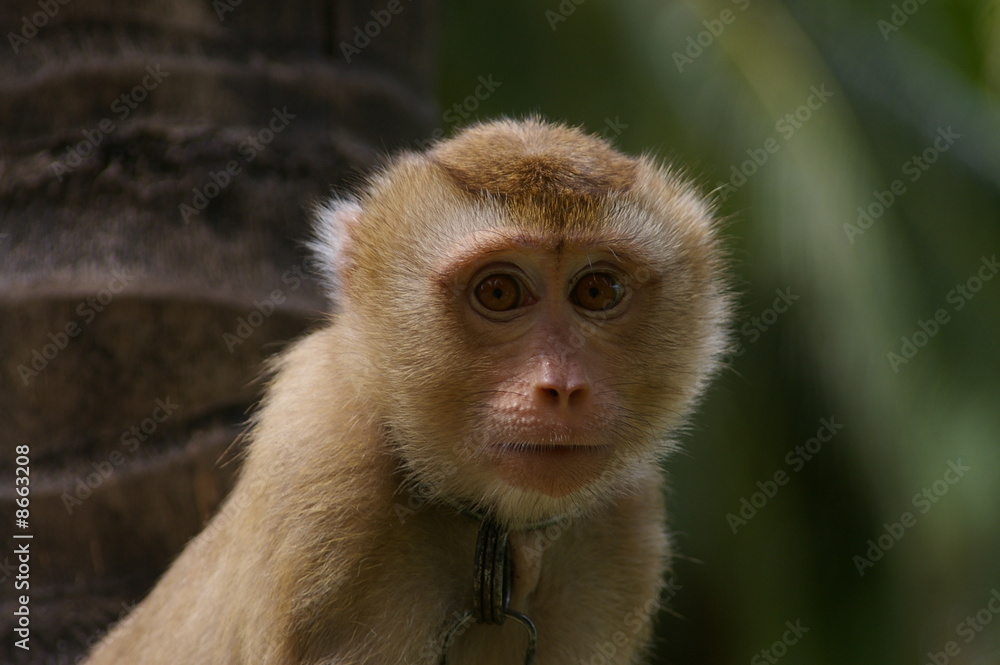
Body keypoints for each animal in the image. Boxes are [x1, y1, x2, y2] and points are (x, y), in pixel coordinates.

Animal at [83, 117, 731, 665]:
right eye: (499, 292)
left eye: (597, 291)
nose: (563, 387)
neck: (495, 542)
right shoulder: (323, 465)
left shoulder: (625, 528)